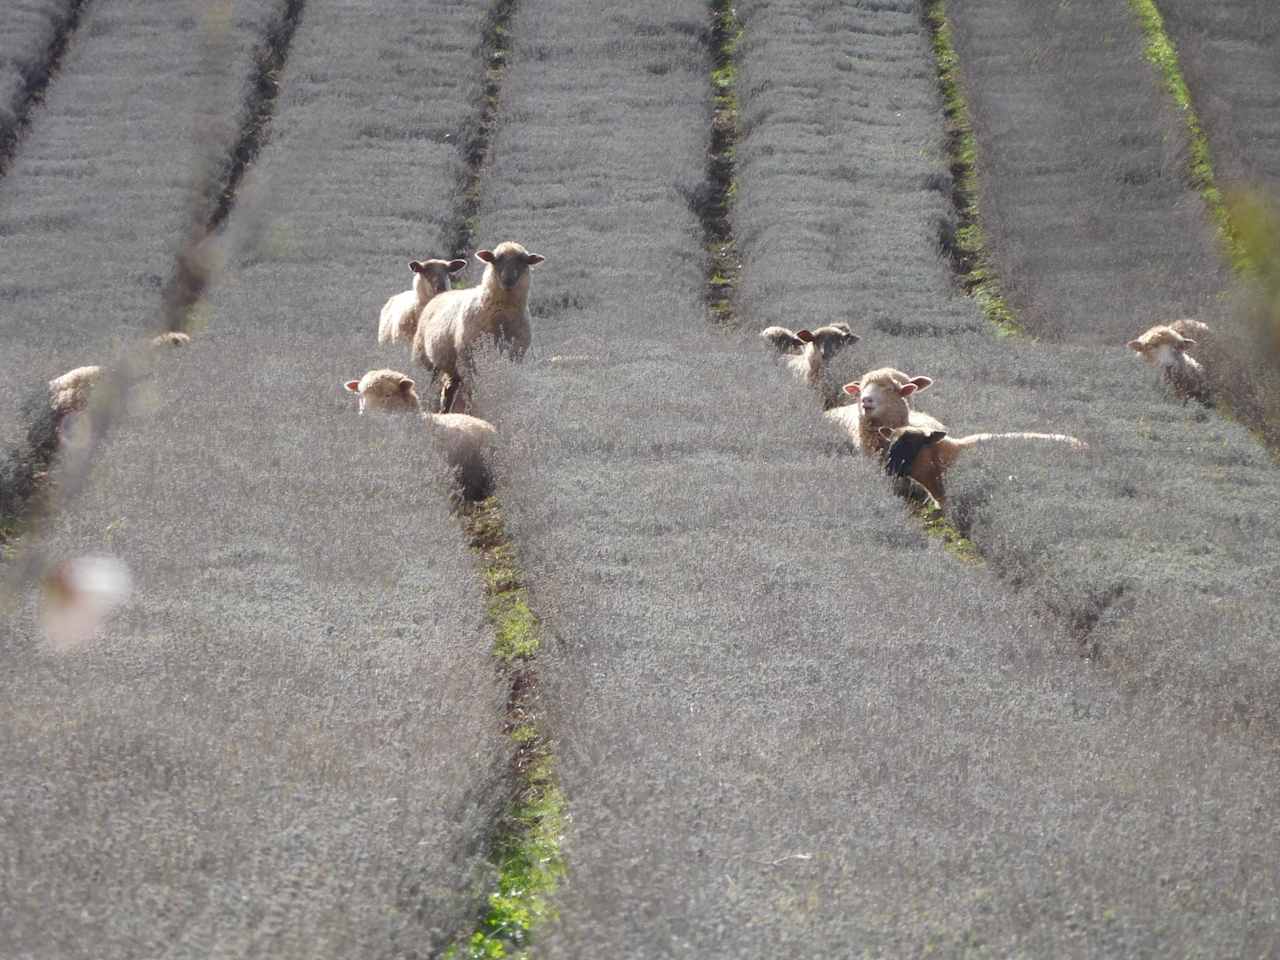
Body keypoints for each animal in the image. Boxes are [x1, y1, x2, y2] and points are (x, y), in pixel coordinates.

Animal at [412, 240, 542, 414]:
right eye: (495, 260)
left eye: (523, 261)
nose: (508, 280)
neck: (502, 316)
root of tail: (439, 295)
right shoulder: (470, 357)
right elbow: (471, 391)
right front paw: (471, 412)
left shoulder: (516, 355)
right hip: (429, 361)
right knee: (433, 387)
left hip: (453, 366)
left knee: (449, 389)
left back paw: (445, 412)